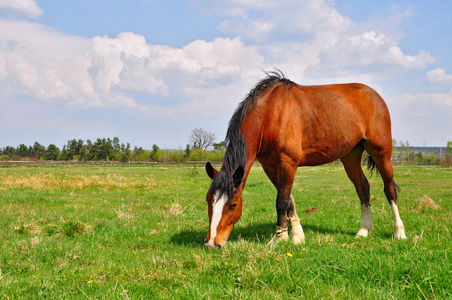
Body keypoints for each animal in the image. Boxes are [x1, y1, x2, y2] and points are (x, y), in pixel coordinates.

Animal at [204, 71, 406, 248]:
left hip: (381, 152)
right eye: (208, 200)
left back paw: (399, 232)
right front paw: (297, 235)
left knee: (389, 189)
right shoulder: (270, 166)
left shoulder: (288, 163)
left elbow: (282, 201)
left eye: (233, 204)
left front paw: (279, 238)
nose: (212, 243)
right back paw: (364, 230)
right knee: (363, 188)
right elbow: (288, 199)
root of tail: (374, 95)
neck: (270, 115)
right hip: (350, 156)